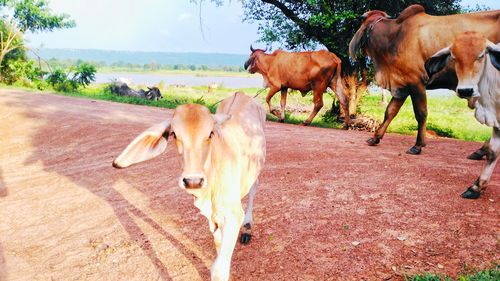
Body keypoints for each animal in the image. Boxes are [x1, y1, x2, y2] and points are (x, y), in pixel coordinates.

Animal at [112, 91, 268, 278]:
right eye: (174, 134)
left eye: (210, 134)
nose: (193, 181)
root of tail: (241, 93)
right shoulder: (213, 219)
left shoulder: (233, 215)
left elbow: (219, 269)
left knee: (254, 187)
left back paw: (247, 226)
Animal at [348, 3, 500, 153]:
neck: (395, 36)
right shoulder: (402, 84)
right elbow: (390, 111)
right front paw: (375, 138)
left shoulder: (416, 82)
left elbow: (421, 113)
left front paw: (418, 145)